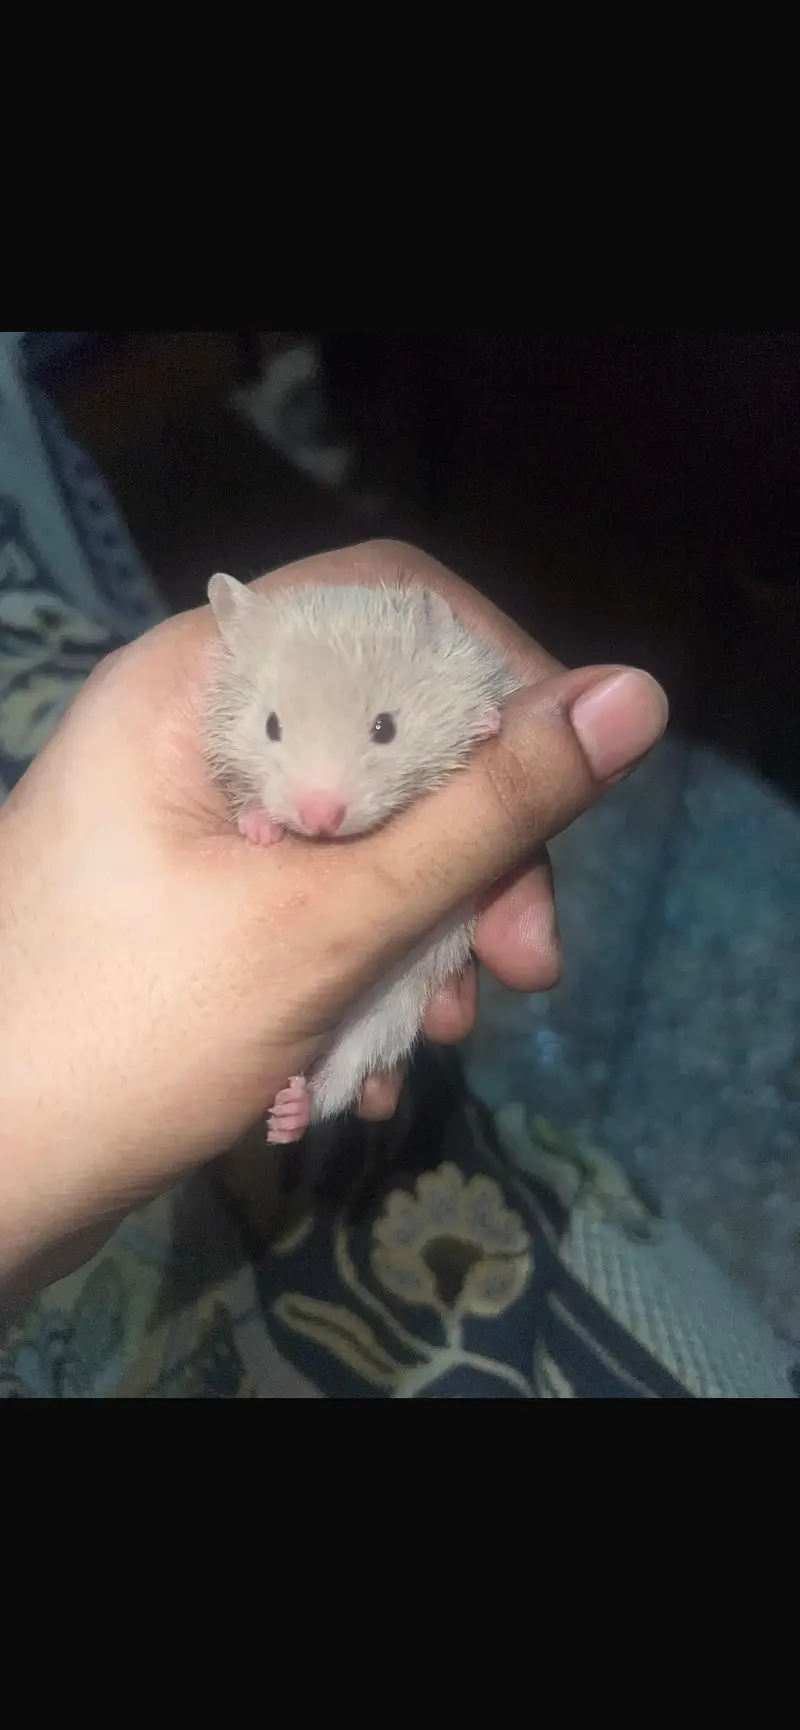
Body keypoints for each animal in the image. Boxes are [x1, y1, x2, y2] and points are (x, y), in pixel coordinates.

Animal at [206, 572, 520, 1142]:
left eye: (385, 728)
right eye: (272, 726)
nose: (320, 818)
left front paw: (487, 725)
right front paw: (259, 828)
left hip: (391, 1014)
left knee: (345, 1077)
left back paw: (289, 1115)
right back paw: (284, 1119)